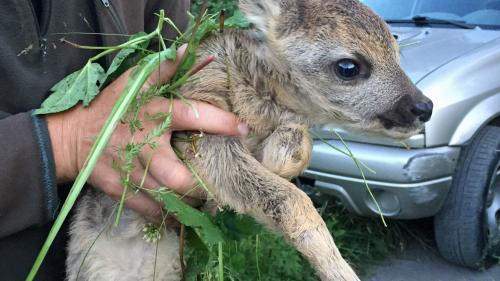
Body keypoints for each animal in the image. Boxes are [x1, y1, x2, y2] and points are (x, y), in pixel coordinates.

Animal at [67, 0, 434, 278]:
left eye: (397, 53)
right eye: (348, 67)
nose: (424, 106)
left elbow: (297, 146)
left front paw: (281, 156)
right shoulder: (196, 126)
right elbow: (290, 199)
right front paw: (337, 268)